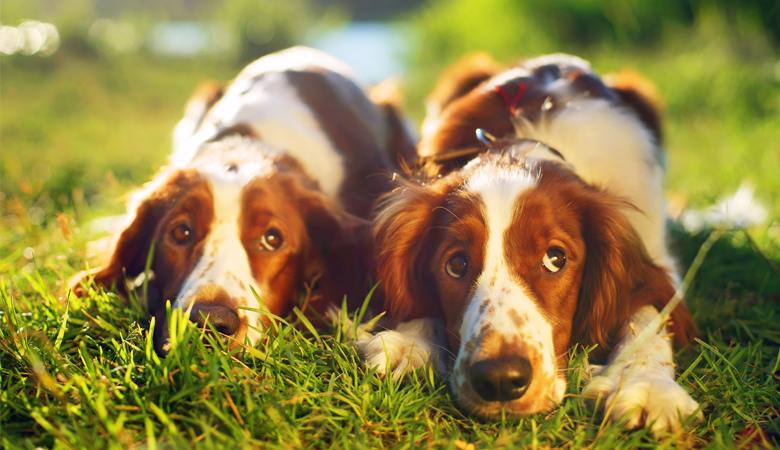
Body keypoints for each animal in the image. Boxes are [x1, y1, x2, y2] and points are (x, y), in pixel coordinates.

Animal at [362, 52, 704, 436]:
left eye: (555, 258)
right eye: (456, 264)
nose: (500, 379)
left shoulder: (654, 255)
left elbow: (647, 315)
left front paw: (646, 385)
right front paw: (410, 340)